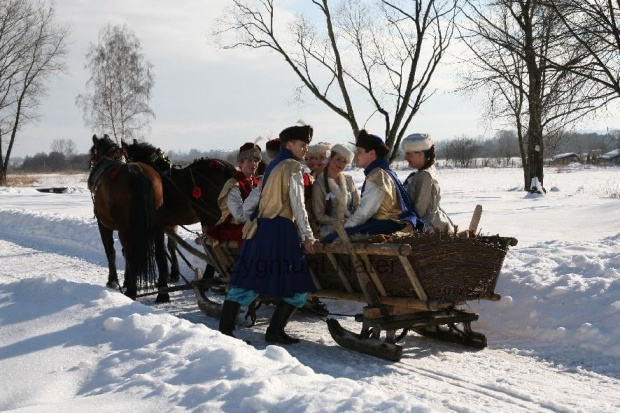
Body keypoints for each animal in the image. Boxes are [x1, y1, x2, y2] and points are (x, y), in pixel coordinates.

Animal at [89, 134, 170, 300]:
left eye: (92, 155)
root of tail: (136, 172)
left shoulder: (103, 225)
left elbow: (111, 252)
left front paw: (113, 280)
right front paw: (125, 280)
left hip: (126, 227)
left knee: (130, 251)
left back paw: (131, 291)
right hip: (157, 225)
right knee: (159, 253)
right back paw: (162, 292)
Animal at [123, 140, 235, 278]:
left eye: (126, 159)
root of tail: (225, 166)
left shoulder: (159, 223)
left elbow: (163, 248)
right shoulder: (172, 222)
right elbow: (172, 246)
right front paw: (174, 273)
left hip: (207, 216)